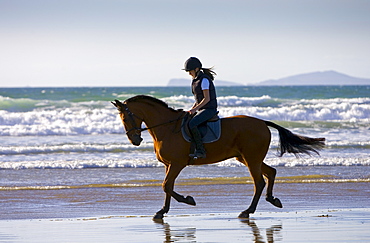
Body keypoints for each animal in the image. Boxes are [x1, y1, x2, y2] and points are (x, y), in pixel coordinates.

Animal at [111, 95, 326, 220]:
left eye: (126, 117)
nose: (135, 140)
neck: (167, 128)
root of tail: (262, 122)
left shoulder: (177, 164)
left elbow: (166, 186)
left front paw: (188, 200)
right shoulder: (168, 165)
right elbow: (167, 187)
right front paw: (162, 211)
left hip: (251, 159)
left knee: (259, 182)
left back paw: (247, 211)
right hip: (247, 158)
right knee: (271, 173)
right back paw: (272, 200)